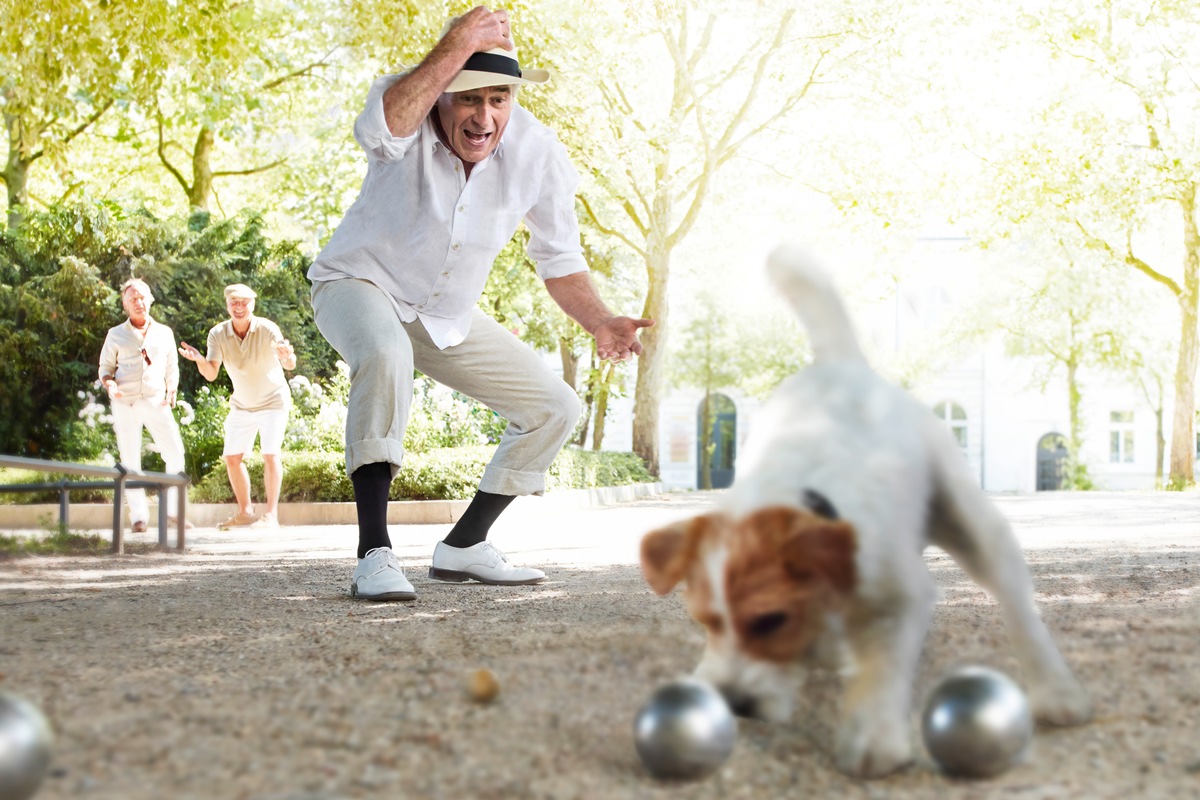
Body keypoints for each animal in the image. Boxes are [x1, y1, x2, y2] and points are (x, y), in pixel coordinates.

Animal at [643, 247, 1094, 777]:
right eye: (707, 622)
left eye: (770, 621)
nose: (735, 706)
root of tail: (842, 365)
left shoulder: (900, 598)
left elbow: (882, 667)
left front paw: (873, 735)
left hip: (975, 528)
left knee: (1020, 608)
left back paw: (1055, 689)